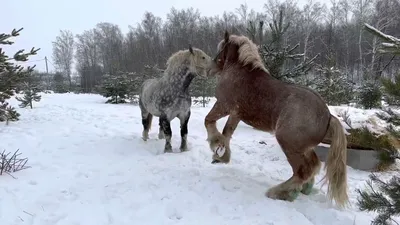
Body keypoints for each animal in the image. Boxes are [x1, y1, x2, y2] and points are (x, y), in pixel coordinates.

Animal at [205, 30, 348, 208]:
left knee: (303, 170)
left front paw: (215, 145)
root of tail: (328, 116)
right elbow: (227, 133)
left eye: (221, 48)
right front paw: (222, 156)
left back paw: (281, 192)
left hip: (288, 143)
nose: (209, 69)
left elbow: (209, 121)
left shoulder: (223, 105)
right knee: (313, 164)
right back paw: (303, 188)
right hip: (304, 147)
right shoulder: (236, 114)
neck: (240, 72)